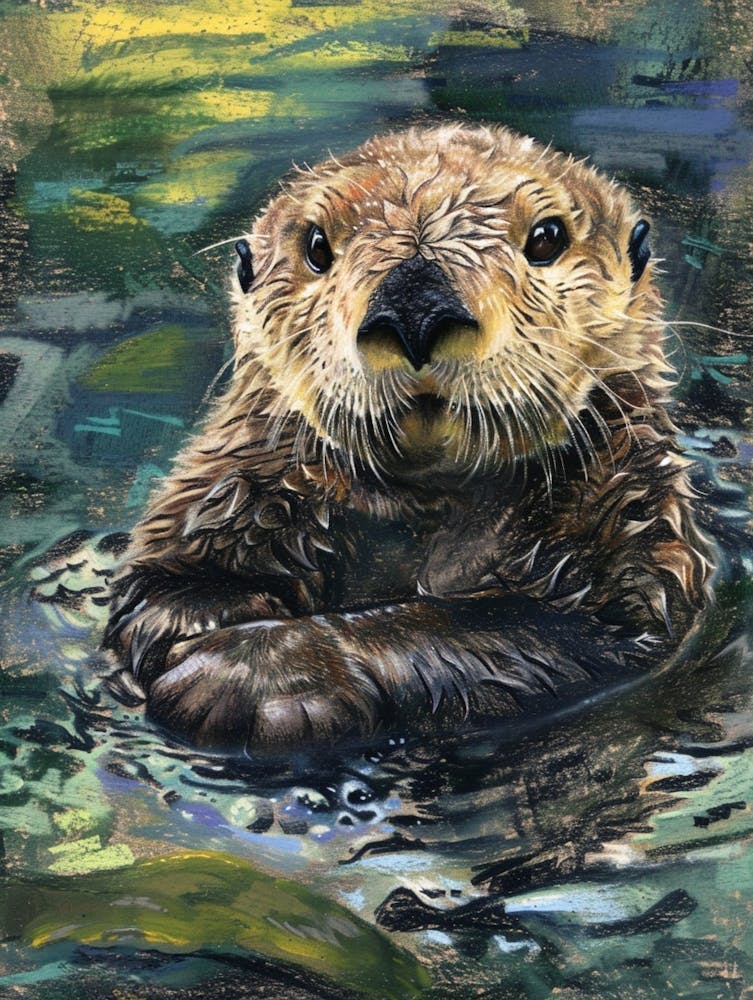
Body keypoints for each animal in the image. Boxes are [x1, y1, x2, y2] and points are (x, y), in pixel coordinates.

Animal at [104, 123, 714, 750]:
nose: (416, 307)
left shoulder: (626, 537)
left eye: (546, 238)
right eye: (317, 247)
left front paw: (258, 670)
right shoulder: (233, 489)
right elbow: (165, 591)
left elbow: (527, 625)